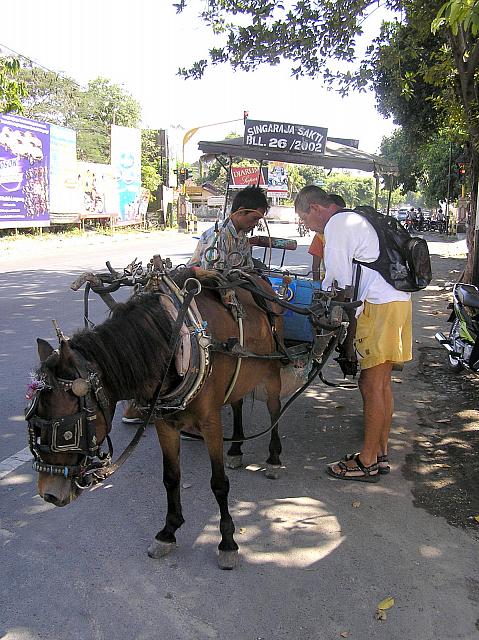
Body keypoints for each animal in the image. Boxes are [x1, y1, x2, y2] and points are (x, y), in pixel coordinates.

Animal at [30, 268, 284, 568]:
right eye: (34, 423)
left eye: (68, 431)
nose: (49, 493)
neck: (176, 344)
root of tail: (256, 275)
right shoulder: (165, 423)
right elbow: (171, 477)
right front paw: (168, 532)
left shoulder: (210, 422)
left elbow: (219, 484)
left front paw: (227, 542)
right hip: (241, 376)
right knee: (237, 402)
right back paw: (235, 449)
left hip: (272, 371)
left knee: (275, 409)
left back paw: (274, 458)